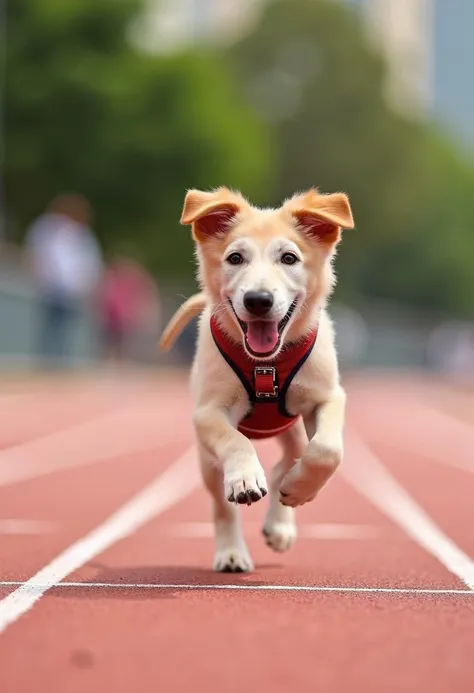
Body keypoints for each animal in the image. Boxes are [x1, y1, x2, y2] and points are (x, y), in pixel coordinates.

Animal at [157, 187, 354, 572]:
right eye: (235, 258)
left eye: (289, 258)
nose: (258, 300)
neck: (267, 365)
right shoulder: (208, 412)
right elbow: (235, 442)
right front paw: (246, 477)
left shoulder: (327, 395)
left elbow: (326, 451)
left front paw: (300, 490)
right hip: (207, 462)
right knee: (223, 506)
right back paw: (232, 552)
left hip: (291, 427)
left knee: (289, 460)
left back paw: (281, 521)